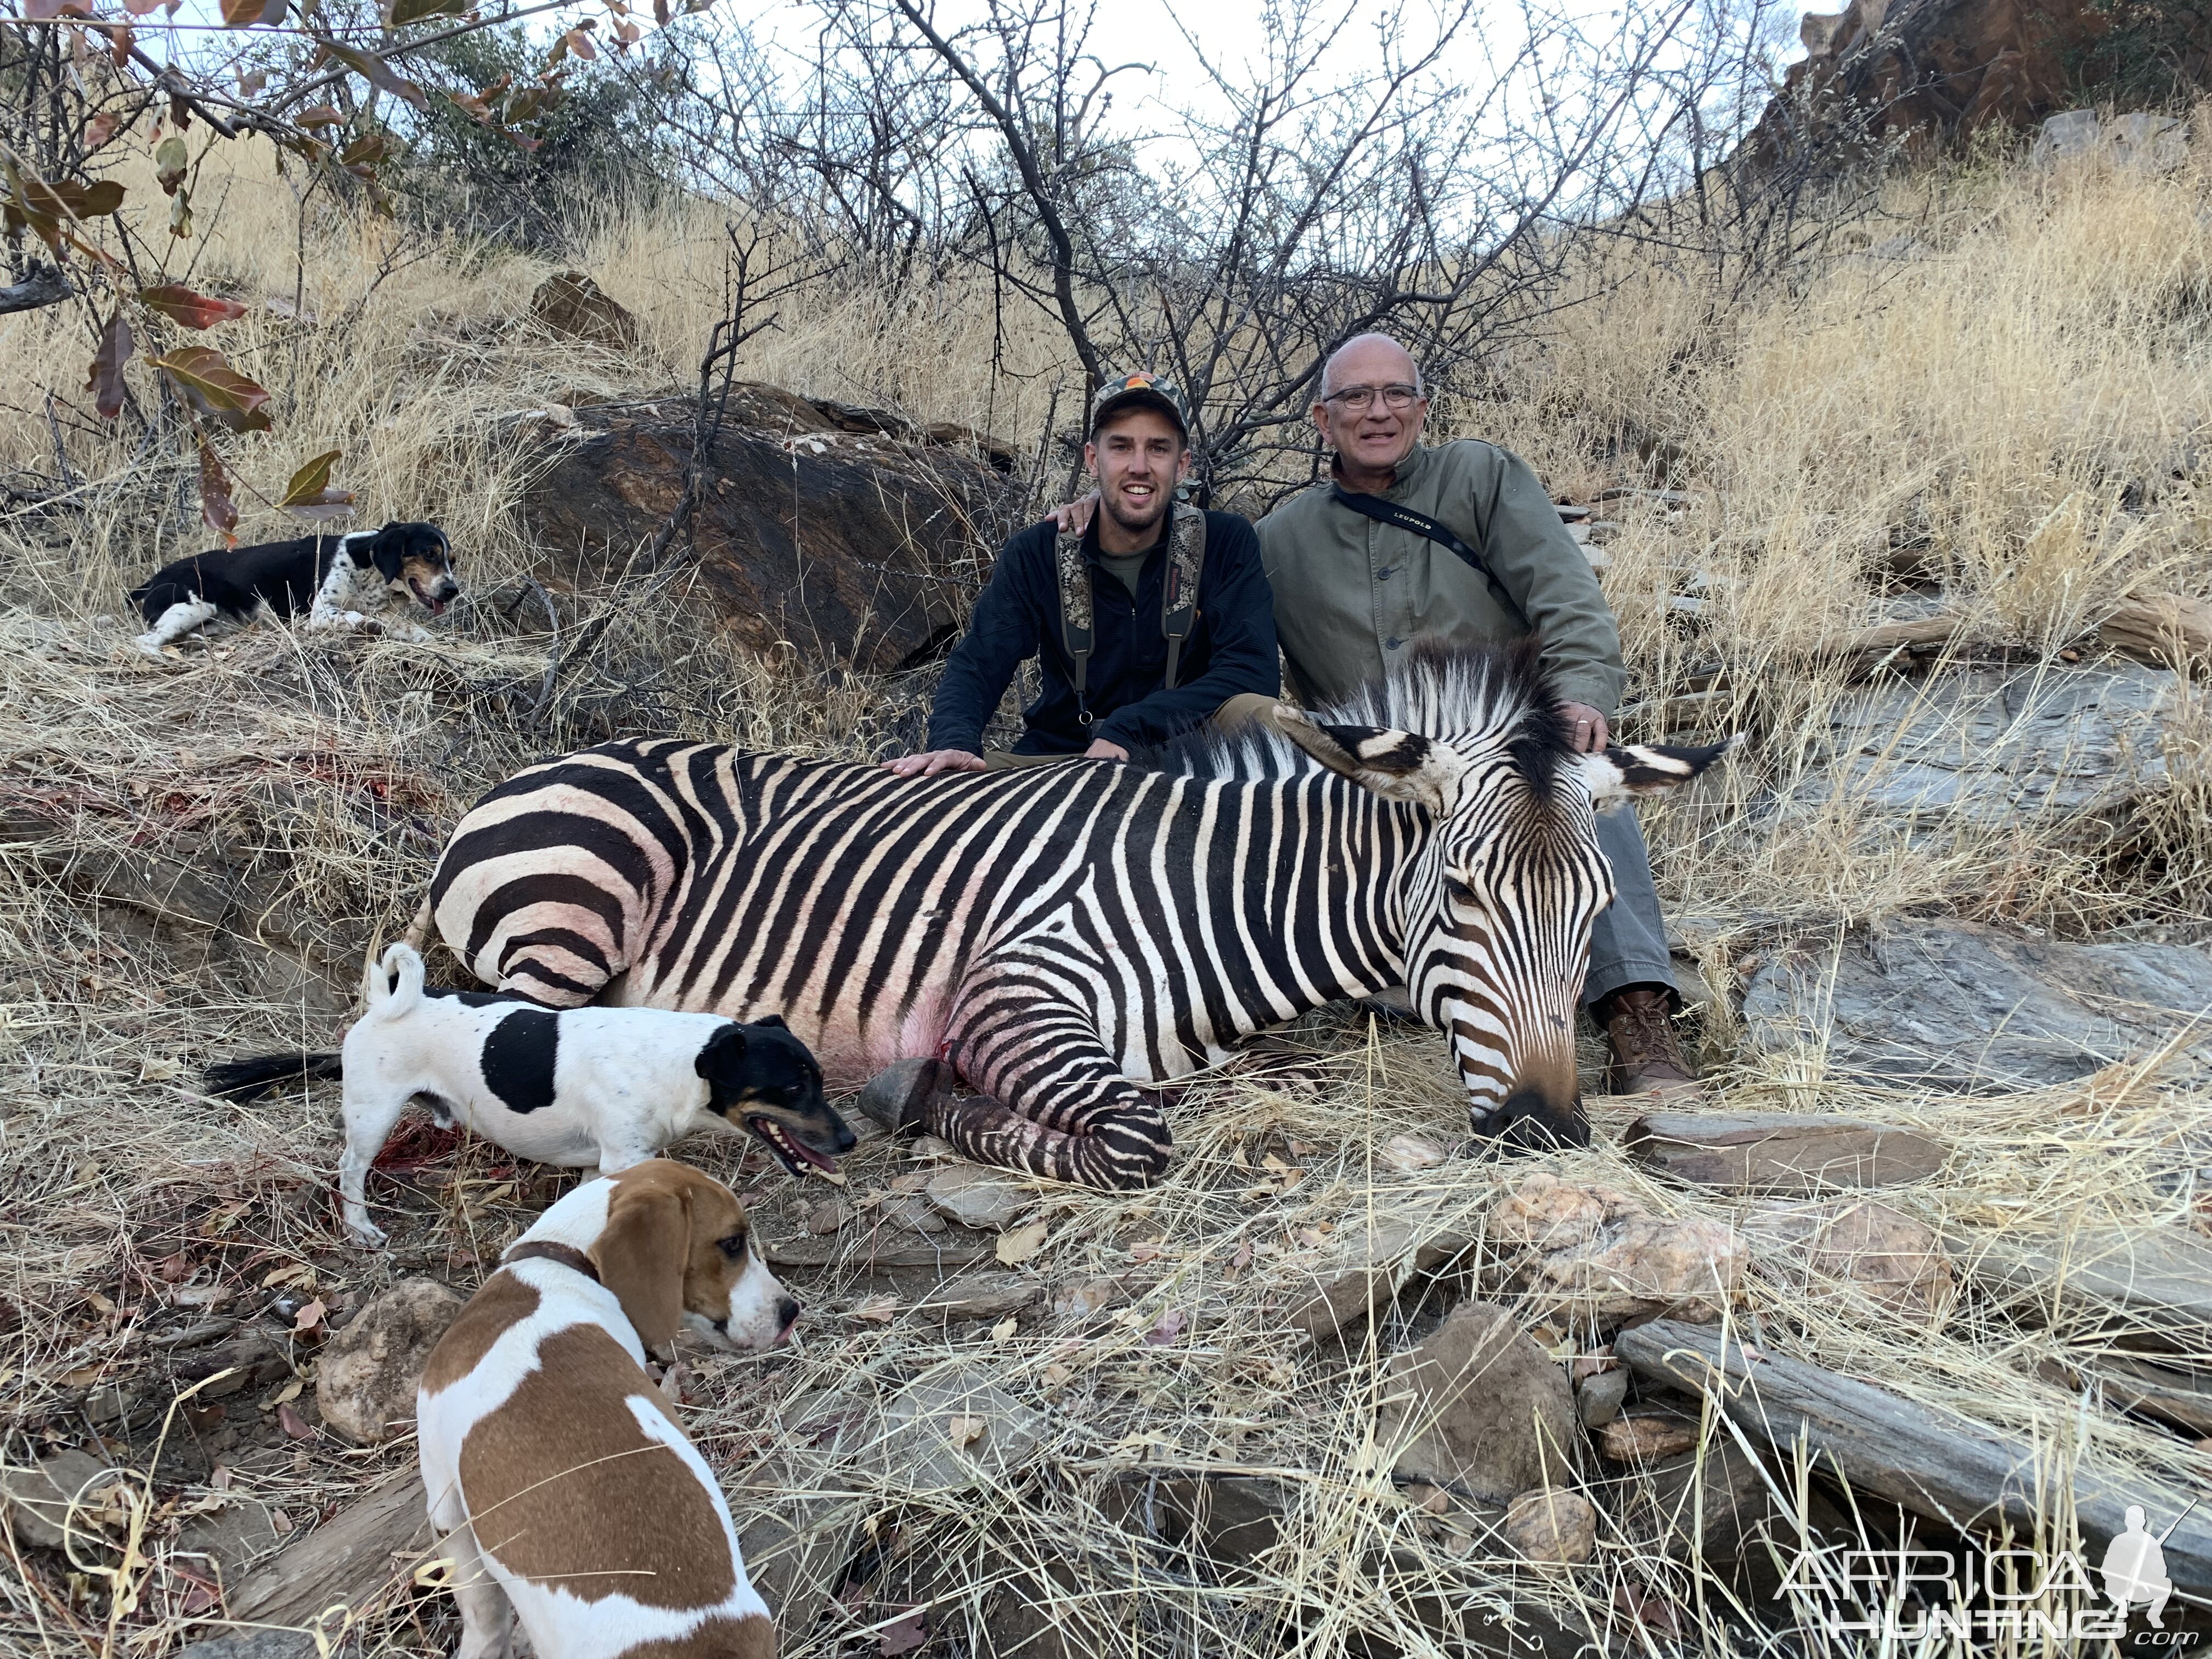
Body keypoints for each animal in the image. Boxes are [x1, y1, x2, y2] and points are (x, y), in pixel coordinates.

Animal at [129, 522, 458, 659]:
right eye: (429, 554)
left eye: (452, 560)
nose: (452, 590)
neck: (368, 568)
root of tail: (151, 580)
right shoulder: (321, 614)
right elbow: (354, 617)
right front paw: (368, 625)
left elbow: (409, 627)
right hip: (195, 605)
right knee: (143, 641)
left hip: (219, 623)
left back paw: (195, 644)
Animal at [208, 946, 849, 1248]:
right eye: (794, 1088)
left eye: (817, 1078)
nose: (849, 1138)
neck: (670, 1062)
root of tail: (389, 1004)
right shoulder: (625, 1157)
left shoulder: (603, 1165)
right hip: (373, 1116)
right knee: (350, 1169)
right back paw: (359, 1227)